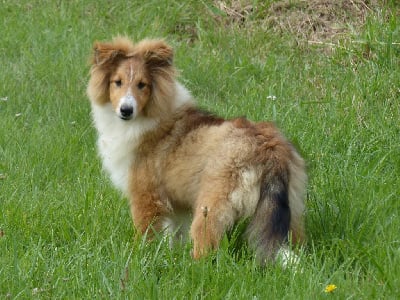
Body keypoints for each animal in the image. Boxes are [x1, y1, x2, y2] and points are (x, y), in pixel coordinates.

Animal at [87, 37, 306, 264]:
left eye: (142, 85)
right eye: (117, 82)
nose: (126, 110)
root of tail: (269, 150)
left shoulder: (146, 196)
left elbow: (147, 233)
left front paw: (143, 256)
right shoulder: (177, 207)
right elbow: (176, 235)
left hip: (211, 206)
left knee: (206, 246)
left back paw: (194, 265)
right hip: (287, 209)